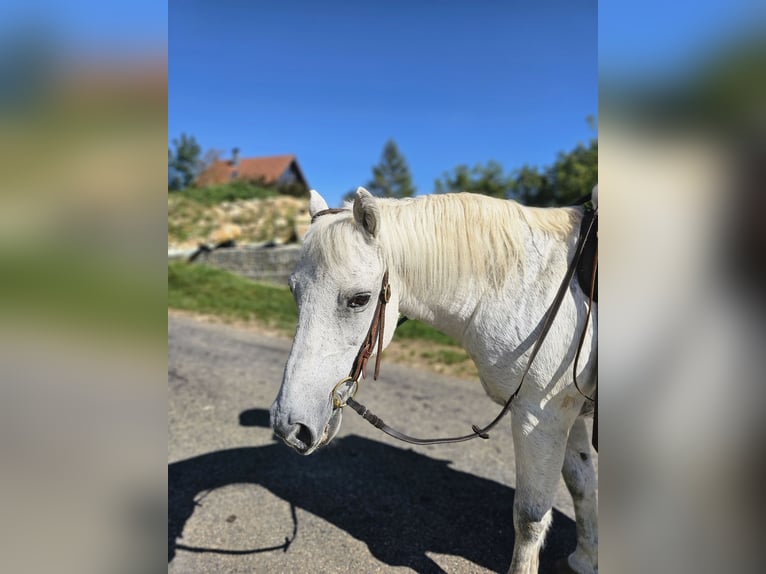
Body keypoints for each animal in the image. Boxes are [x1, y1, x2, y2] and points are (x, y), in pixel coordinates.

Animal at [270, 189, 600, 574]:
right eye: (294, 292)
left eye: (359, 299)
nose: (289, 426)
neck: (530, 289)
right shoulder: (566, 415)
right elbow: (581, 485)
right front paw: (586, 560)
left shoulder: (540, 417)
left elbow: (530, 516)